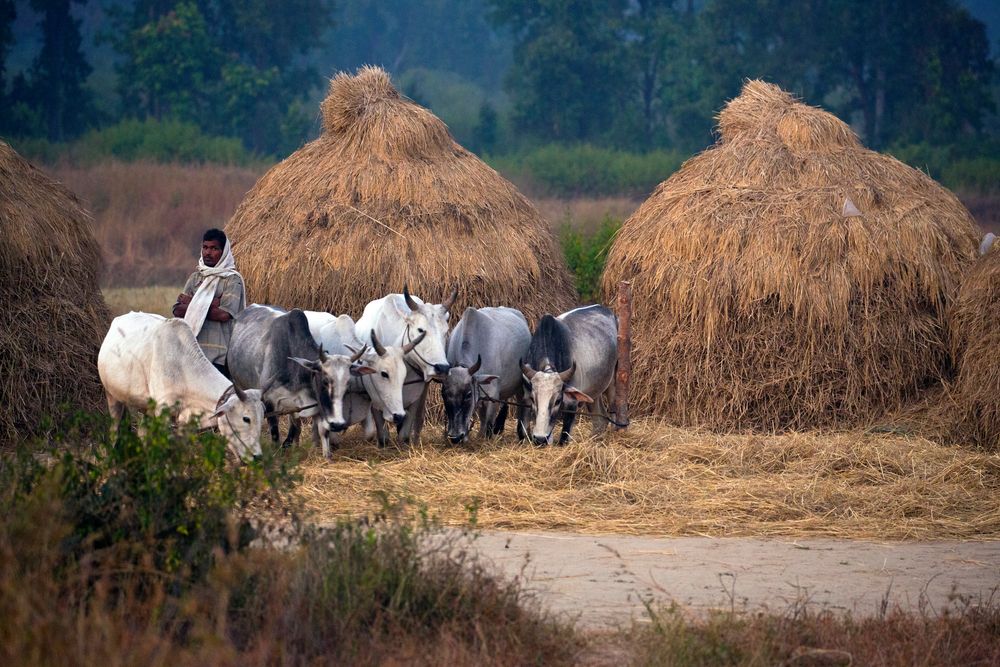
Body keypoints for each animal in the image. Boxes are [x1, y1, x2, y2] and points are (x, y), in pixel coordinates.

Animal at [97, 312, 266, 460]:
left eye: (261, 418)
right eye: (246, 418)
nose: (257, 457)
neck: (183, 368)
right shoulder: (162, 413)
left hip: (145, 407)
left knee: (142, 433)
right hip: (112, 396)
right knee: (114, 431)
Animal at [356, 286, 458, 444]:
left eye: (445, 331)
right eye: (421, 330)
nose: (442, 368)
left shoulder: (416, 397)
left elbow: (404, 434)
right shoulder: (375, 397)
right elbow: (382, 434)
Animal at [440, 306, 532, 444]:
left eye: (468, 394)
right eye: (443, 394)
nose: (455, 437)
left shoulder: (492, 394)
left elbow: (488, 423)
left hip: (520, 386)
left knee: (522, 407)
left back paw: (522, 434)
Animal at [516, 306, 616, 446]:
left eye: (558, 400)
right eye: (532, 398)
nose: (540, 438)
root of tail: (604, 309)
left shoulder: (571, 402)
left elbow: (564, 436)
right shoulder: (525, 397)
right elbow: (523, 429)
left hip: (613, 382)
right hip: (594, 391)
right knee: (600, 420)